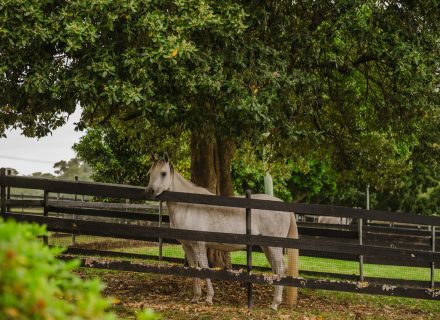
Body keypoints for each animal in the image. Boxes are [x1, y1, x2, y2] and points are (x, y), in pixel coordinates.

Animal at [145, 158, 300, 310]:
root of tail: (284, 206)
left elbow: (204, 268)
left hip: (274, 247)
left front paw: (209, 298)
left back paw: (275, 304)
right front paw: (196, 297)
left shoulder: (199, 245)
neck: (189, 206)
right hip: (267, 247)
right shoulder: (187, 246)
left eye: (163, 173)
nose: (149, 191)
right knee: (276, 269)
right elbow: (194, 268)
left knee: (280, 268)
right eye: (150, 173)